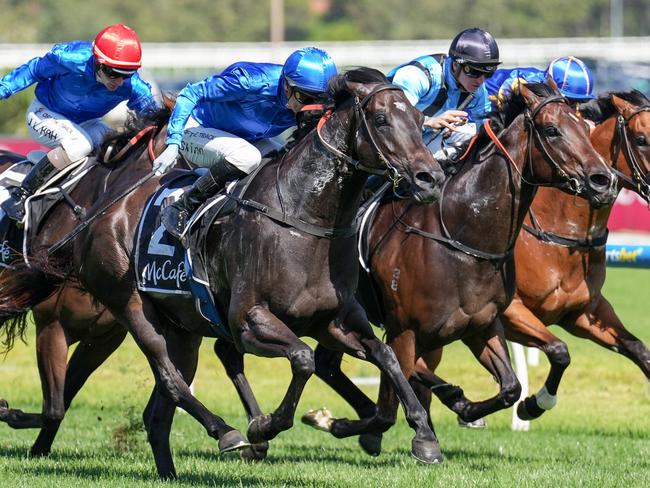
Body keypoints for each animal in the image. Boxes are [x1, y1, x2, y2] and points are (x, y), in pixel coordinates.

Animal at [0, 70, 446, 478]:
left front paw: (424, 437)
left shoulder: (334, 320)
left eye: (419, 120)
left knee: (160, 410)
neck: (302, 217)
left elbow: (386, 355)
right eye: (382, 119)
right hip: (131, 306)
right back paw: (226, 432)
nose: (431, 178)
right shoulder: (248, 322)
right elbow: (303, 360)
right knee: (171, 380)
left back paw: (171, 472)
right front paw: (263, 425)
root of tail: (99, 214)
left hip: (181, 329)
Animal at [296, 81, 616, 458]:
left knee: (331, 365)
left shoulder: (483, 324)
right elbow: (389, 405)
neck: (463, 238)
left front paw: (482, 407)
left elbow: (510, 387)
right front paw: (354, 426)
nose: (603, 180)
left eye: (584, 127)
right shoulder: (403, 330)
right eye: (552, 130)